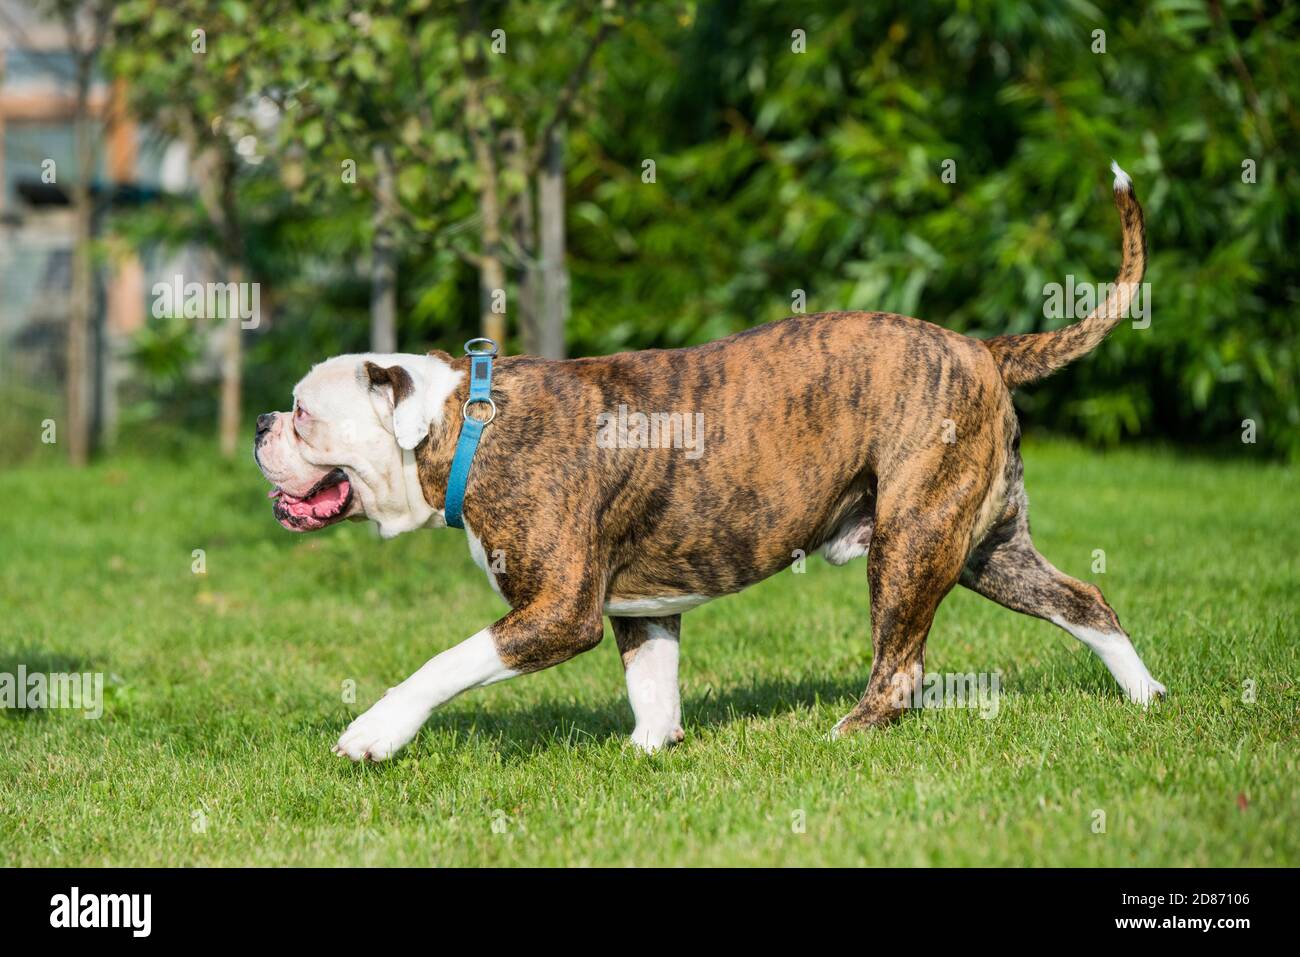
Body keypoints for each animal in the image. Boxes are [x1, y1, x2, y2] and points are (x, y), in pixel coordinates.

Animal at [250, 164, 1159, 764]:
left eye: (304, 413)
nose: (261, 421)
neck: (464, 424)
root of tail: (980, 347)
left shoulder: (557, 610)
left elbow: (445, 662)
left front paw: (374, 731)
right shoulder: (638, 610)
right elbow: (653, 683)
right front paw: (650, 751)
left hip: (912, 540)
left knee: (901, 667)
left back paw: (844, 735)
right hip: (982, 544)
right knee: (1085, 600)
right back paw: (1147, 696)